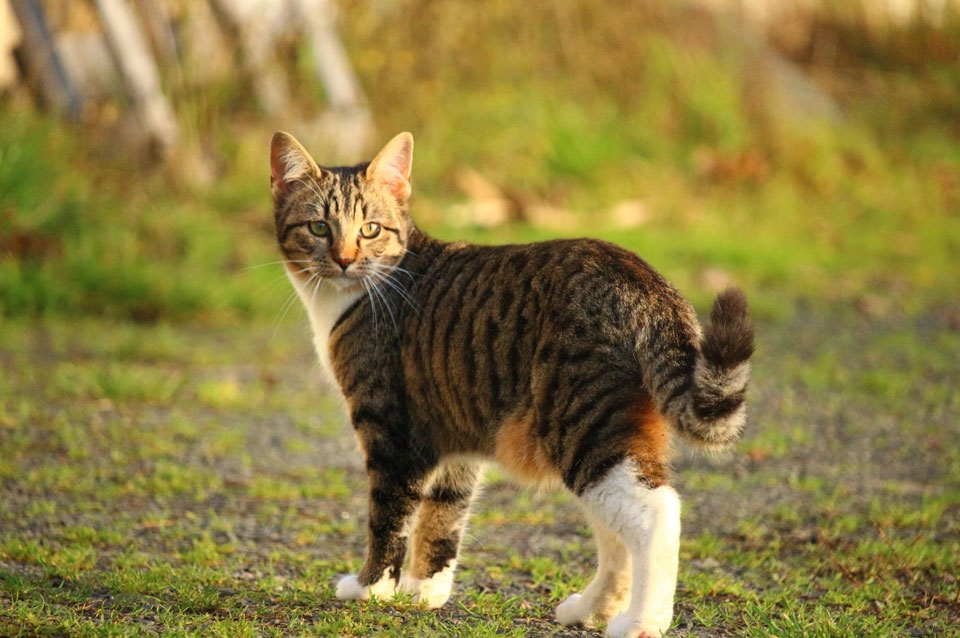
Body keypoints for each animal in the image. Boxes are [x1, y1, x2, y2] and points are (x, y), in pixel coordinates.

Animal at [269, 130, 754, 638]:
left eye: (370, 229)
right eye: (319, 228)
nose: (344, 260)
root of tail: (640, 278)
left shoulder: (389, 430)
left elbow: (388, 515)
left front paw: (370, 588)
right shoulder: (453, 433)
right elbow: (443, 516)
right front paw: (425, 591)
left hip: (583, 426)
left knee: (656, 515)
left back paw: (643, 621)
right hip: (611, 435)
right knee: (616, 531)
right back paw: (593, 609)